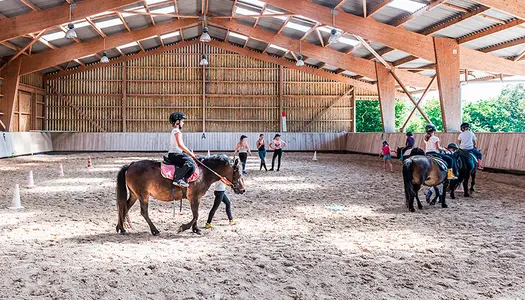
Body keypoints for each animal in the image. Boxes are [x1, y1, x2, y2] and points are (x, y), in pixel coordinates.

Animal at [115, 156, 245, 236]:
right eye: (238, 173)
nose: (242, 189)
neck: (203, 173)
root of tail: (131, 165)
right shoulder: (194, 197)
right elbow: (196, 215)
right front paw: (183, 227)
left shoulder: (196, 199)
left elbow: (195, 214)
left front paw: (196, 229)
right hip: (143, 195)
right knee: (143, 212)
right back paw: (155, 230)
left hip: (134, 195)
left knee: (124, 207)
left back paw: (121, 228)